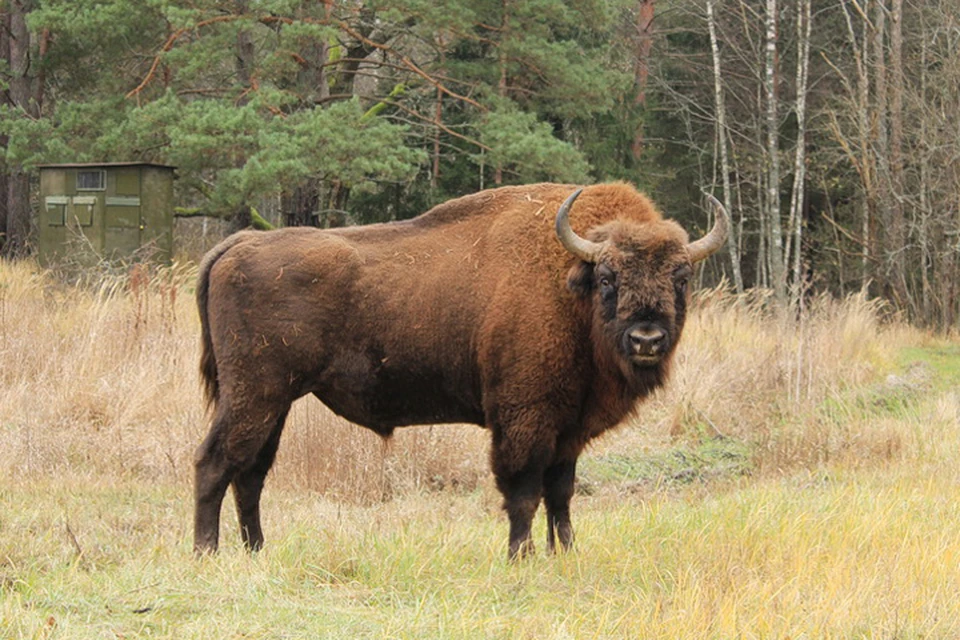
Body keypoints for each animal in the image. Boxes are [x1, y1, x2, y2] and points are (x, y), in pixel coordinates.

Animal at [193, 182, 728, 556]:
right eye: (609, 277)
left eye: (681, 277)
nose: (647, 339)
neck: (568, 284)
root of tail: (238, 245)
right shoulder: (524, 420)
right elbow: (523, 493)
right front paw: (520, 557)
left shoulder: (568, 430)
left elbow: (561, 495)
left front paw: (565, 553)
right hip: (253, 395)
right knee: (215, 463)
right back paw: (207, 554)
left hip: (274, 402)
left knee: (251, 473)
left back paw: (257, 551)